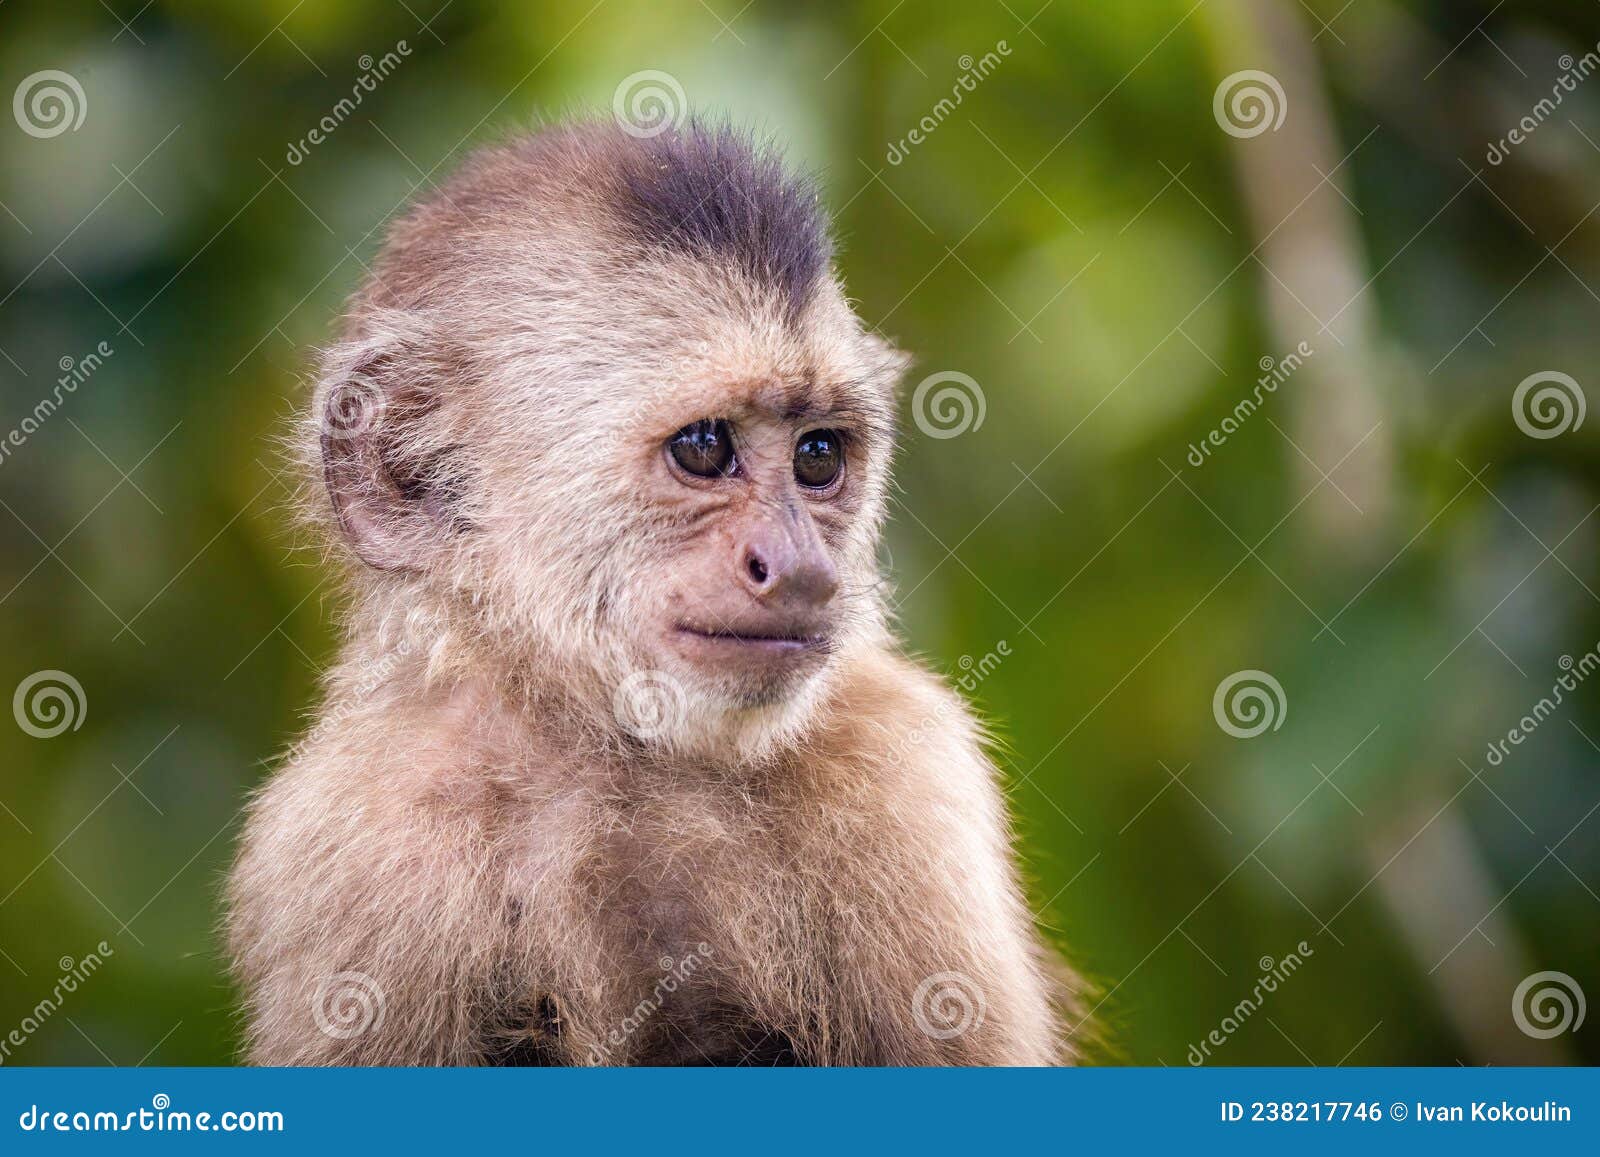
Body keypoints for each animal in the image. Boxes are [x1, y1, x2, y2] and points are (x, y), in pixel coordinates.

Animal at [222, 117, 1075, 1068]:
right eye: (703, 447)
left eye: (818, 456)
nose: (803, 566)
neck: (612, 749)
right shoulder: (346, 838)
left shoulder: (909, 764)